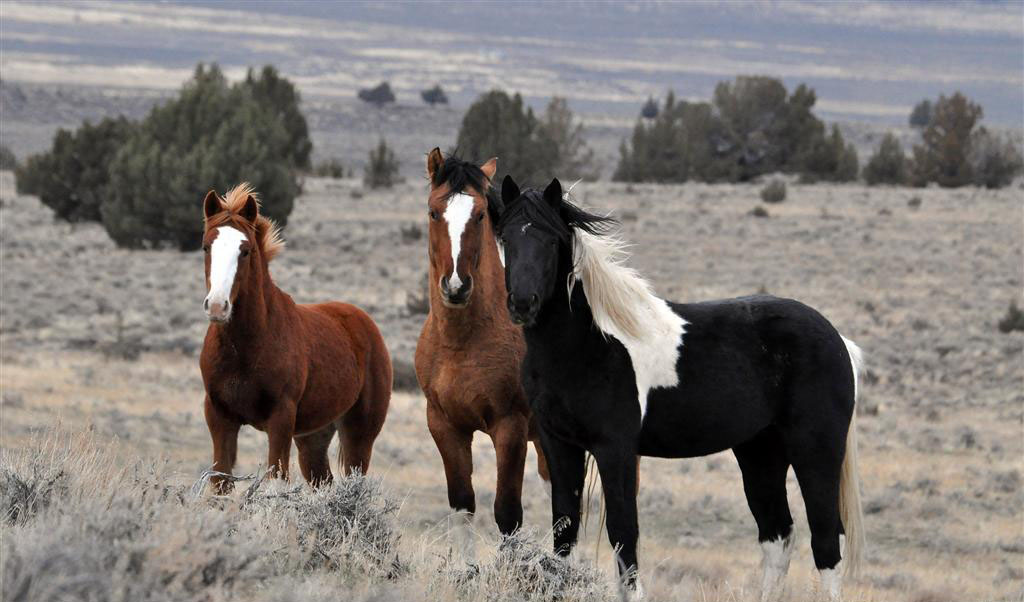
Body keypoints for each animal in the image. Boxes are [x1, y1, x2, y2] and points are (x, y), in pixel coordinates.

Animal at [199, 183, 391, 493]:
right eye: (206, 246)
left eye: (245, 250)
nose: (217, 306)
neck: (245, 347)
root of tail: (364, 322)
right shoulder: (220, 417)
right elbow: (220, 482)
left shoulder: (281, 420)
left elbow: (276, 479)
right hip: (313, 437)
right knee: (323, 481)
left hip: (359, 434)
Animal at [414, 149, 550, 548]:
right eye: (433, 212)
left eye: (478, 215)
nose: (456, 286)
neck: (461, 343)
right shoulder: (445, 426)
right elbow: (463, 505)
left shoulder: (510, 428)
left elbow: (507, 514)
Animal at [496, 176, 865, 602]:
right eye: (505, 237)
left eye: (551, 239)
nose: (523, 303)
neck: (589, 344)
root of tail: (837, 339)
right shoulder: (559, 444)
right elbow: (565, 529)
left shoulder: (615, 449)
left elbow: (624, 532)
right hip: (760, 452)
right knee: (778, 536)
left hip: (815, 452)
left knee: (826, 540)